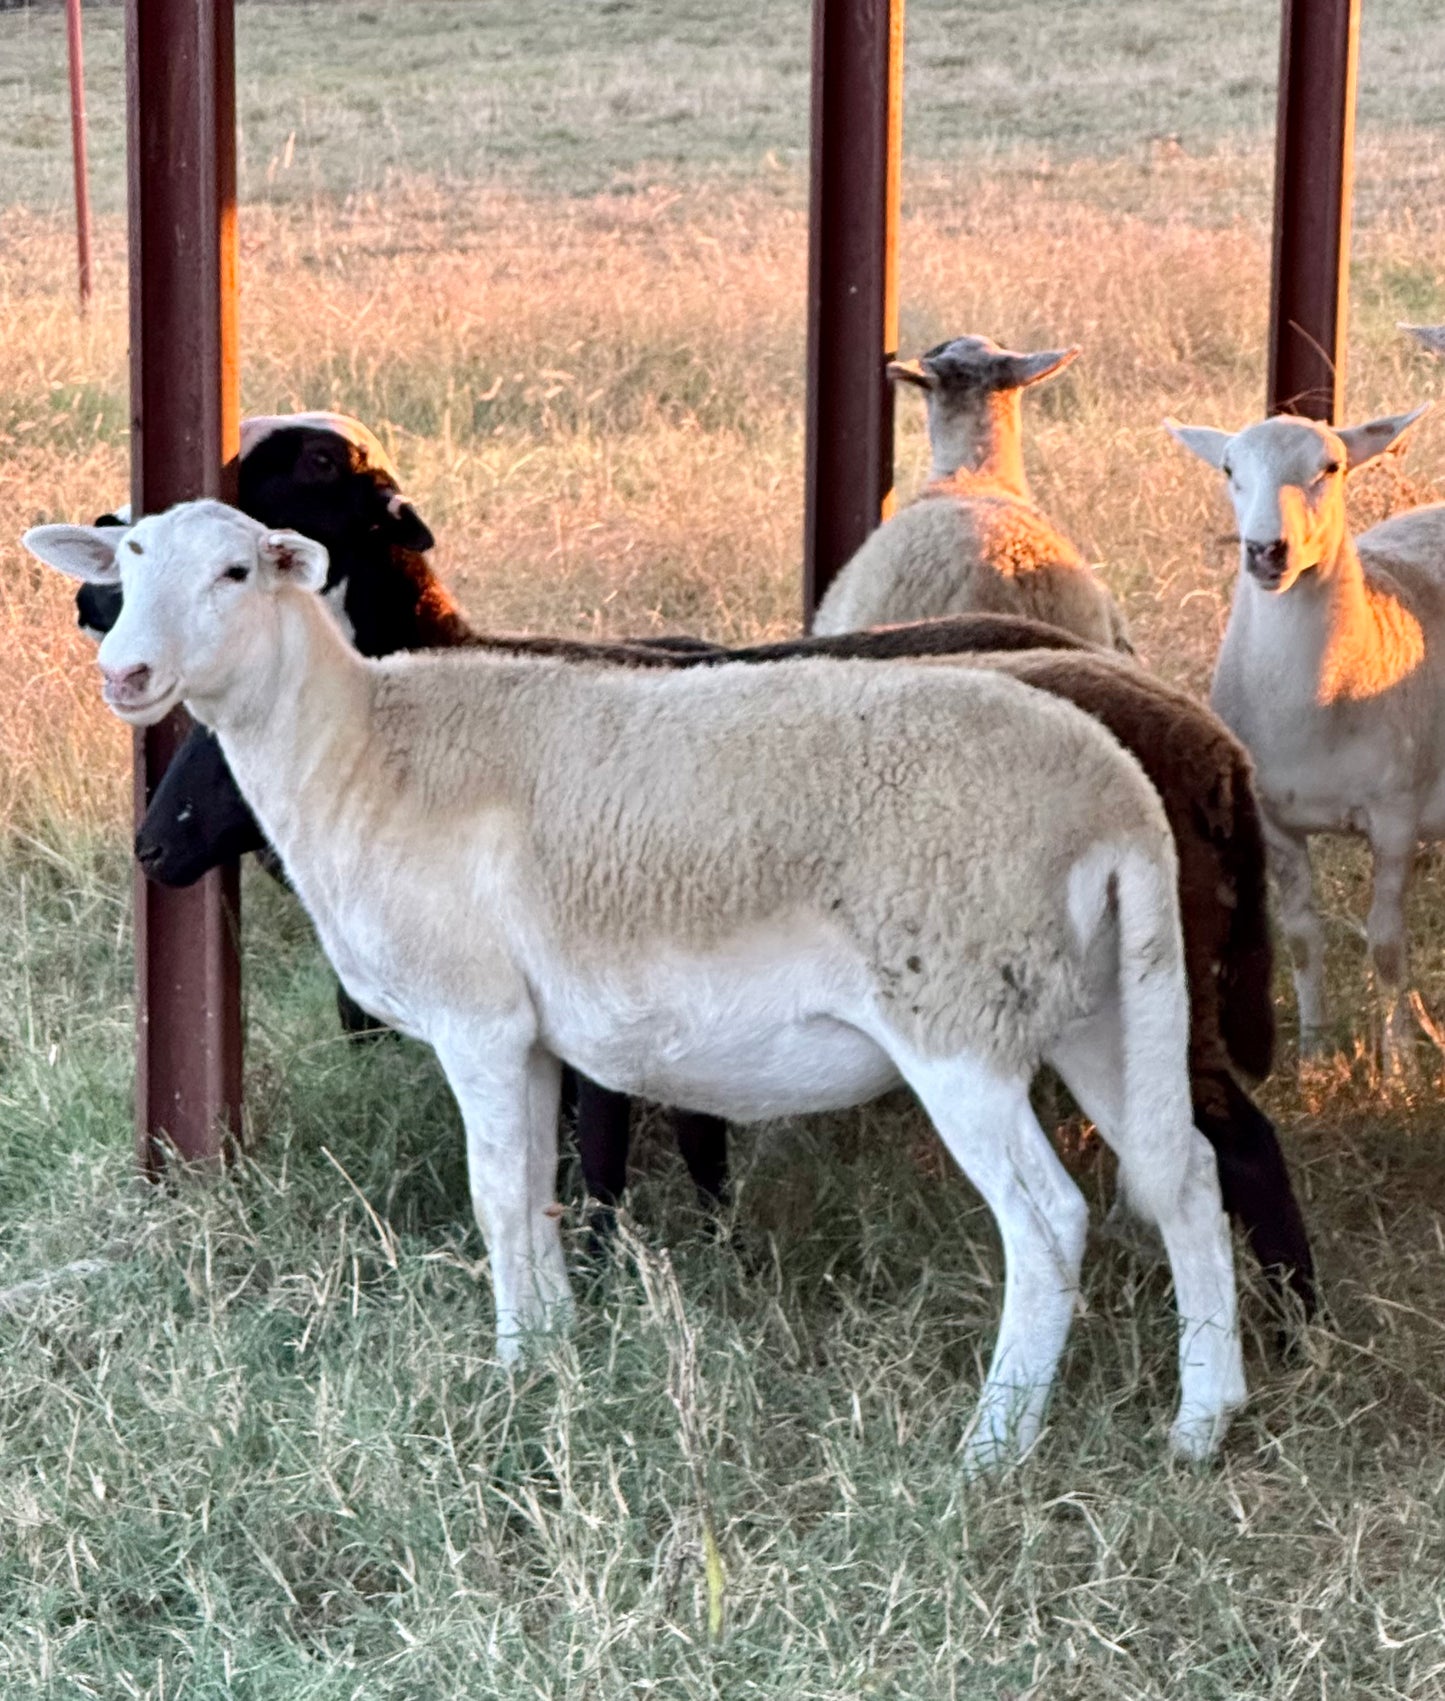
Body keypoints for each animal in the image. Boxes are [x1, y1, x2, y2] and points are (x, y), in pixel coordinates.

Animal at [25, 499, 1247, 1468]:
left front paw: (512, 1370)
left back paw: (991, 1448)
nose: (124, 675)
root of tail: (1117, 800)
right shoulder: (525, 1034)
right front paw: (555, 1348)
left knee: (1047, 1220)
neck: (363, 753)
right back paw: (1202, 1423)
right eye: (126, 558)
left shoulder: (475, 1016)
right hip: (1096, 1002)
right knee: (1185, 1174)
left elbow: (495, 1194)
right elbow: (538, 1190)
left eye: (237, 572)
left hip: (958, 1012)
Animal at [1168, 404, 1442, 1069]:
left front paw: (1398, 1063)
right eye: (1228, 468)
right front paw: (1315, 1055)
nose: (1267, 551)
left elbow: (1386, 941)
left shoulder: (1395, 816)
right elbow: (1300, 938)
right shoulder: (1276, 822)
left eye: (1332, 466)